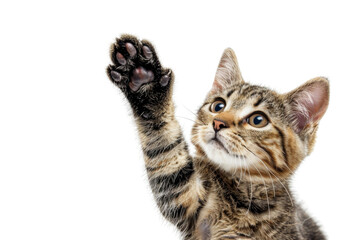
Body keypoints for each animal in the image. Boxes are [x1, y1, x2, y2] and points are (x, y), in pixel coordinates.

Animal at [106, 34, 330, 240]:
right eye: (218, 106)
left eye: (258, 120)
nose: (218, 123)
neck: (242, 195)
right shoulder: (187, 199)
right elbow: (166, 153)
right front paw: (144, 79)